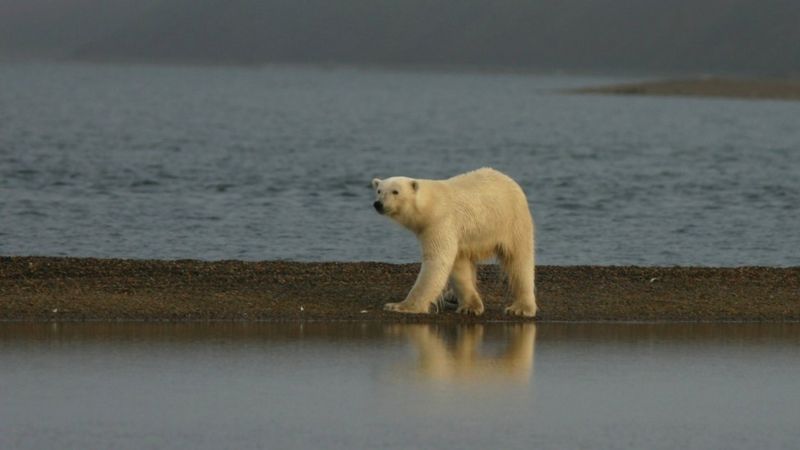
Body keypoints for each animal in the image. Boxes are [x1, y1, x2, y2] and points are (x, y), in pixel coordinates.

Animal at [370, 167, 536, 318]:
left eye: (395, 191)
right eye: (379, 190)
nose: (378, 204)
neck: (430, 205)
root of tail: (508, 179)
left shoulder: (440, 222)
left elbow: (437, 261)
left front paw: (399, 306)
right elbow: (458, 266)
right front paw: (470, 307)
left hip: (511, 221)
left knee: (519, 260)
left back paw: (521, 308)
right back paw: (452, 296)